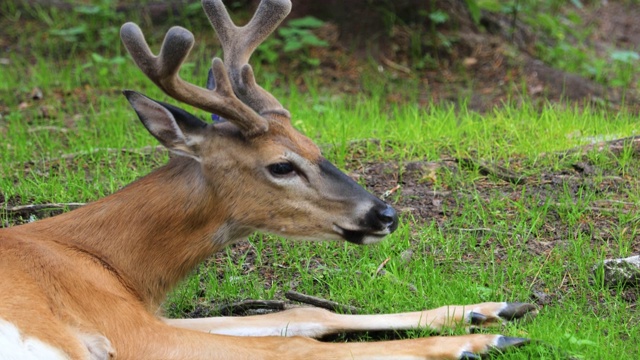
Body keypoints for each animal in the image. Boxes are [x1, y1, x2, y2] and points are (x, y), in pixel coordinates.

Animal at [1, 0, 540, 360]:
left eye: (314, 145)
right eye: (281, 165)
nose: (386, 214)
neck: (105, 262)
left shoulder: (140, 316)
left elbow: (302, 314)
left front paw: (492, 308)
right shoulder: (128, 332)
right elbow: (297, 344)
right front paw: (480, 338)